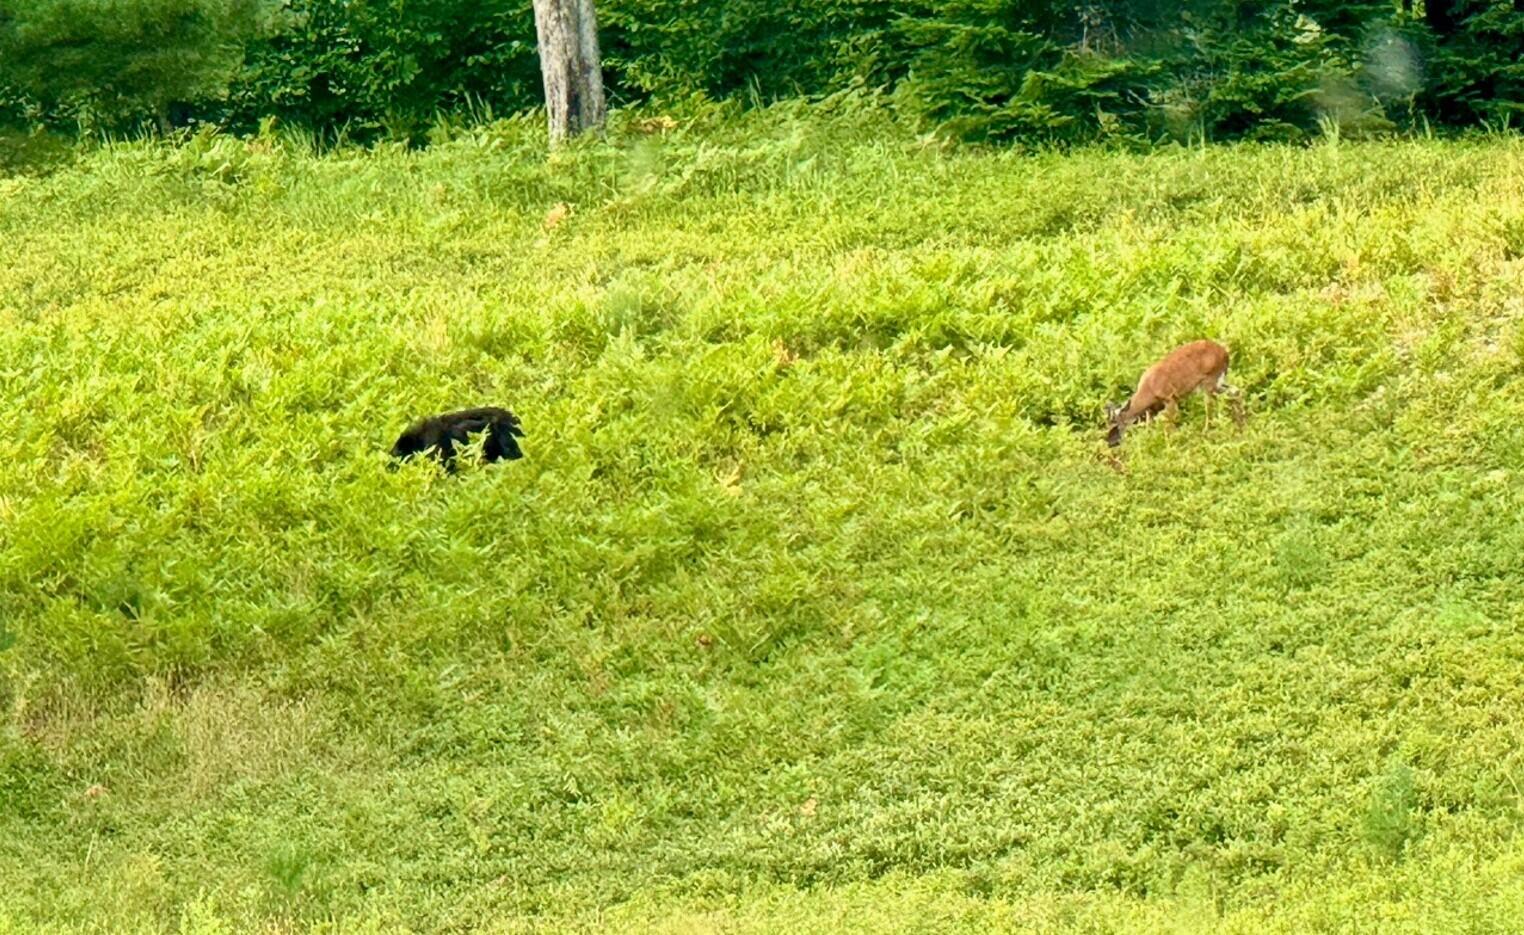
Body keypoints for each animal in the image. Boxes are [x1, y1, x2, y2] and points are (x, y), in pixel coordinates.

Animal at [1109, 341, 1237, 450]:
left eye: (1119, 424)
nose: (1115, 441)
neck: (1149, 389)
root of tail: (1225, 354)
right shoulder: (1155, 407)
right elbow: (1151, 423)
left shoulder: (1169, 397)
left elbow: (1170, 420)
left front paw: (1173, 442)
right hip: (1218, 382)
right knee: (1235, 392)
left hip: (1209, 382)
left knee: (1211, 406)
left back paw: (1206, 431)